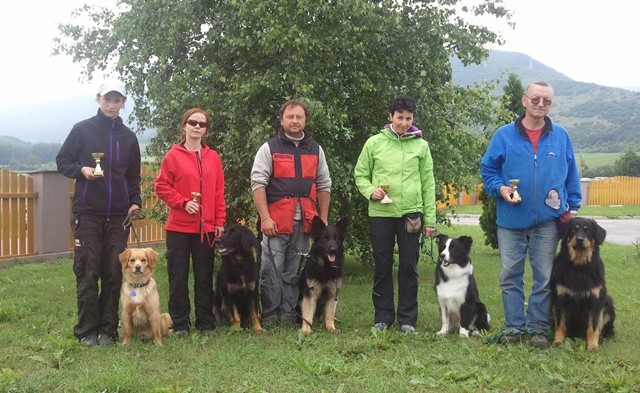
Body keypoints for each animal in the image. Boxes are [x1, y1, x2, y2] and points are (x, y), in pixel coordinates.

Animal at [552, 217, 616, 350]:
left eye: (588, 231)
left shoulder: (596, 301)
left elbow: (593, 327)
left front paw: (592, 346)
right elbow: (560, 325)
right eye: (574, 229)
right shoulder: (560, 299)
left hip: (608, 302)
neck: (579, 266)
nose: (579, 239)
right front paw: (558, 341)